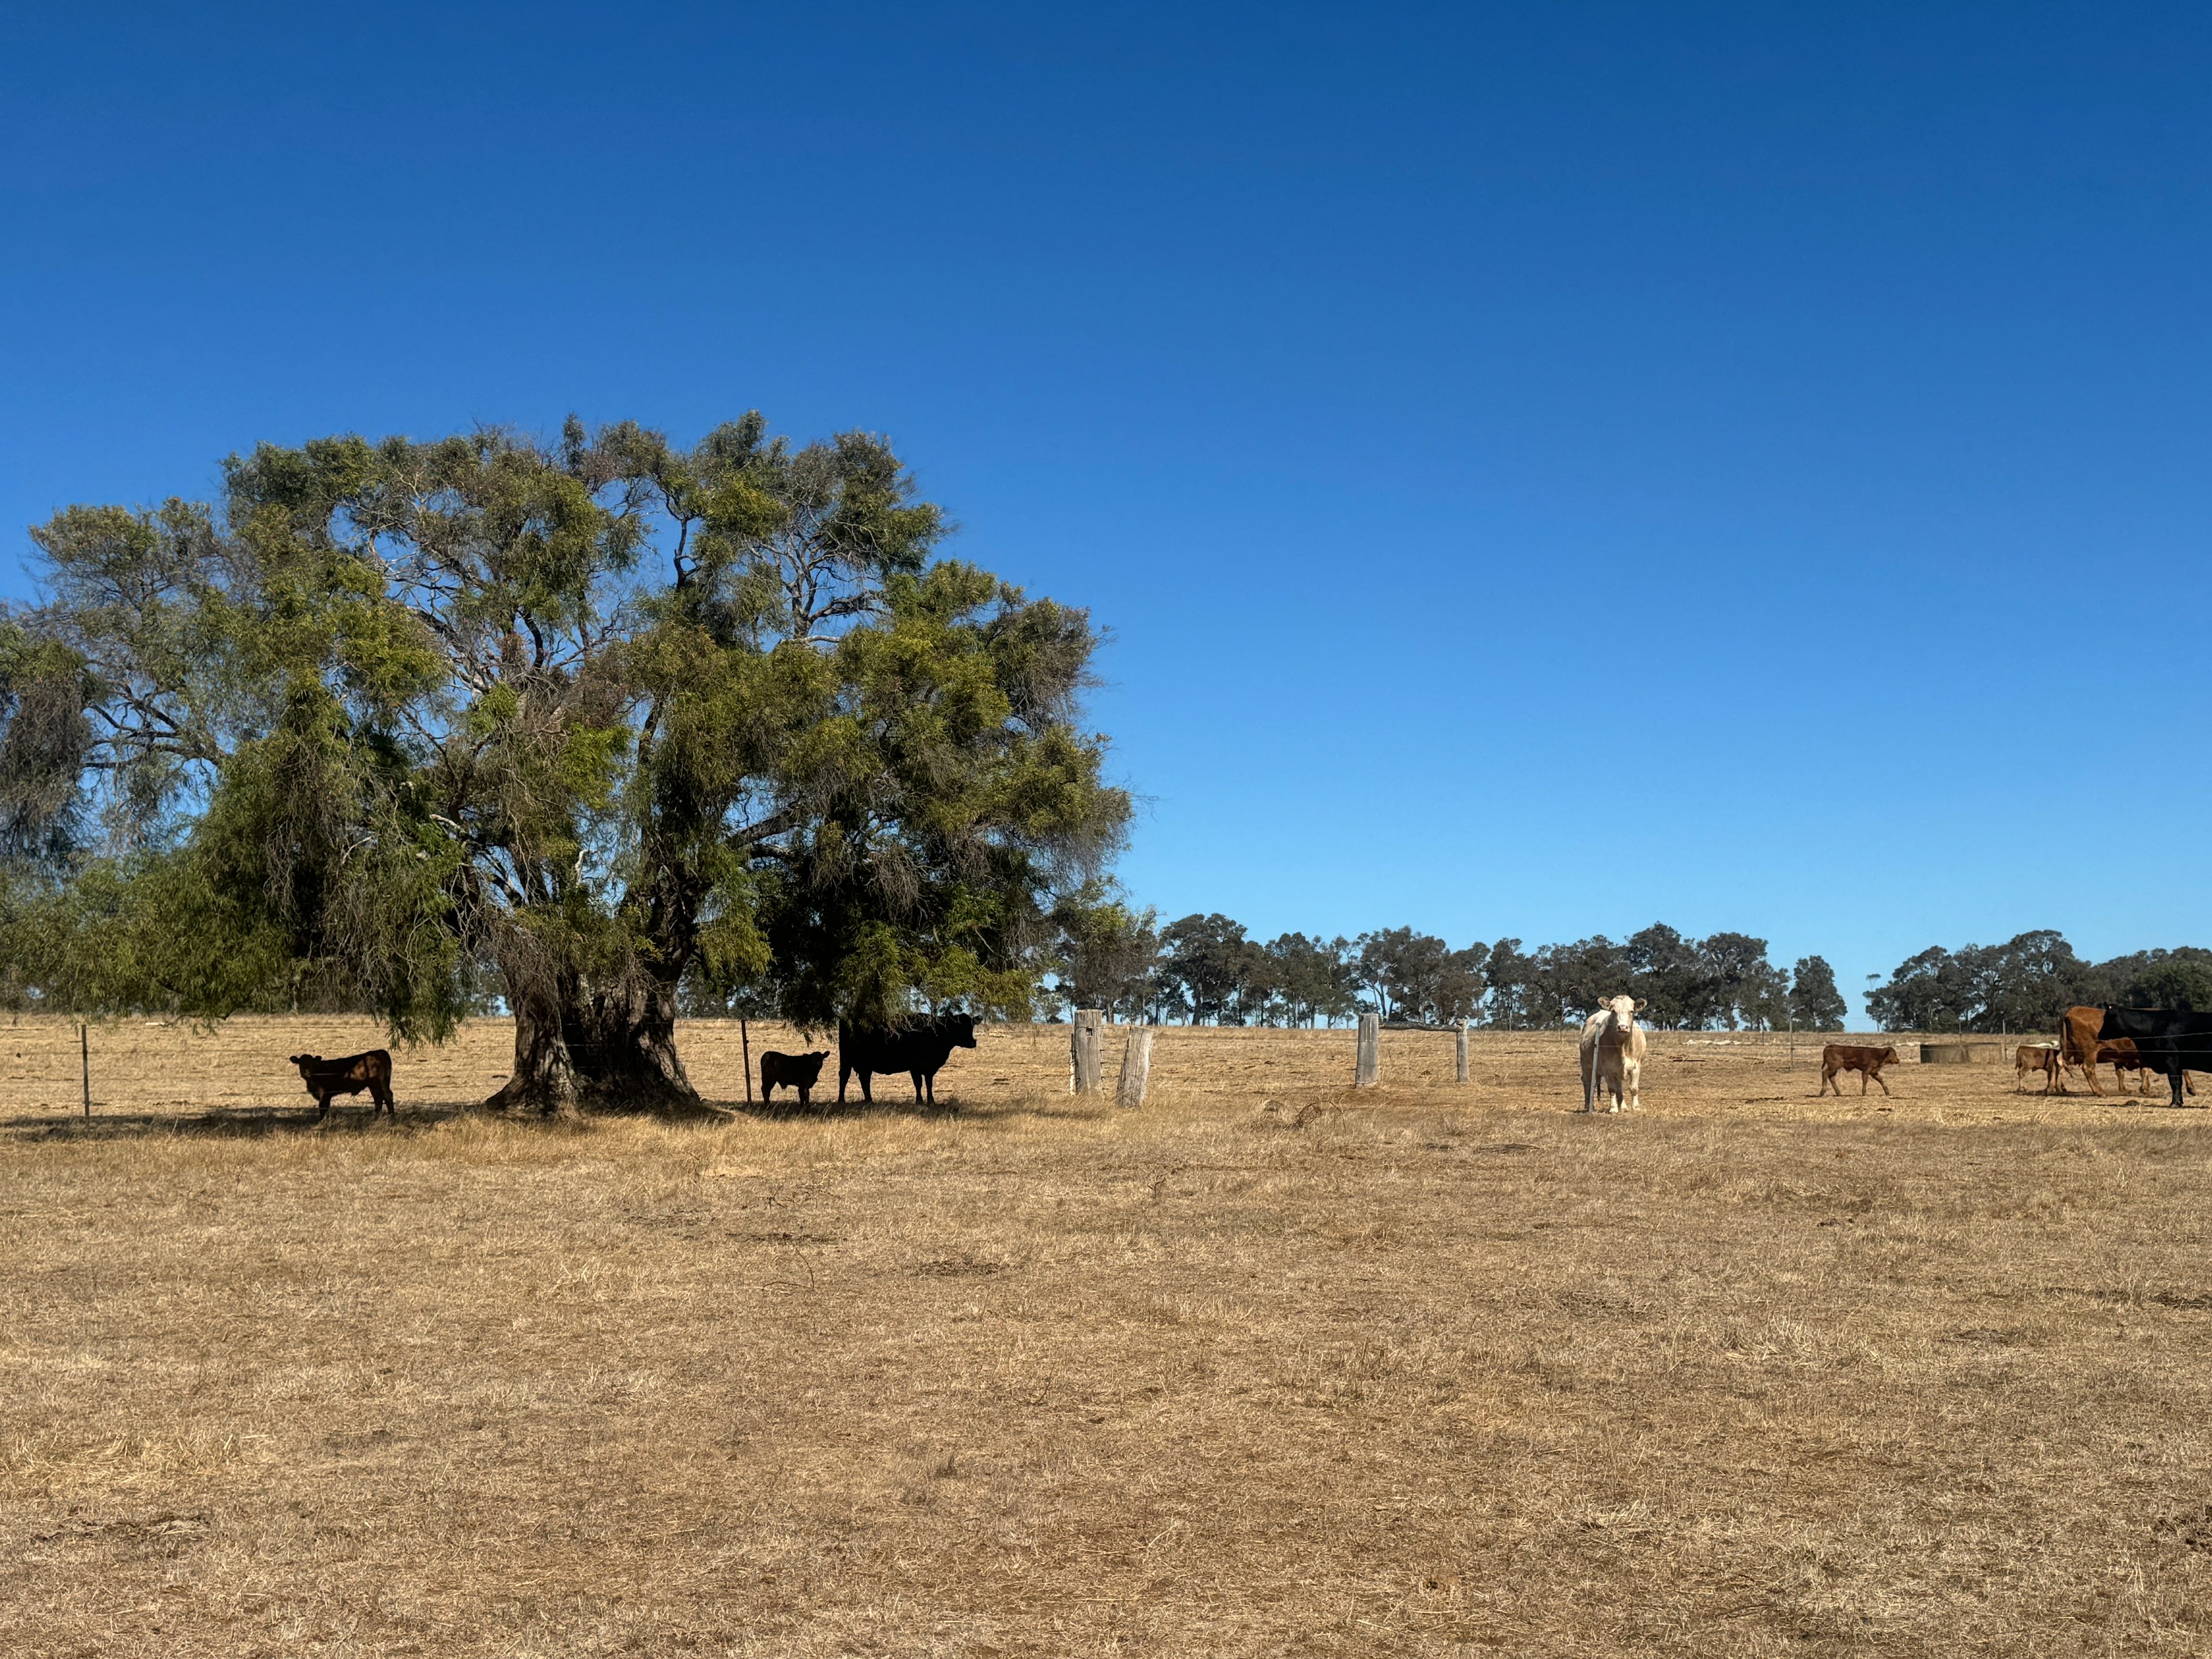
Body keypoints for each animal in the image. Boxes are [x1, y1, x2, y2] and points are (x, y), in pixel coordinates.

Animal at [288, 1050, 396, 1120]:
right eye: (301, 1064)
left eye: (311, 1064)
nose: (306, 1073)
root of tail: (380, 1052)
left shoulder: (325, 1093)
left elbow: (323, 1107)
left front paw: (321, 1122)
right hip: (374, 1086)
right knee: (378, 1099)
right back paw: (377, 1116)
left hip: (380, 1083)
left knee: (387, 1096)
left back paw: (391, 1116)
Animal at [837, 1013, 979, 1109]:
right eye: (960, 1026)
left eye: (971, 1026)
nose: (973, 1043)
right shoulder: (915, 1066)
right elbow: (919, 1083)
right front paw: (920, 1102)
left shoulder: (929, 1068)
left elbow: (929, 1084)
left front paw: (931, 1102)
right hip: (847, 1059)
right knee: (844, 1077)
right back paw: (841, 1100)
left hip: (865, 1064)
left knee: (865, 1080)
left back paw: (869, 1100)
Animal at [1577, 995, 1646, 1113]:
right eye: (1613, 1011)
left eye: (1632, 1011)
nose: (1622, 1027)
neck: (1623, 1047)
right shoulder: (1608, 1069)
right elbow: (1612, 1089)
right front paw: (1613, 1109)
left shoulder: (1636, 1067)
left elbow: (1633, 1088)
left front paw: (1636, 1108)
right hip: (1587, 1065)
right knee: (1587, 1081)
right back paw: (1588, 1106)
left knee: (1619, 1088)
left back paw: (1623, 1107)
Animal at [1819, 1043, 1899, 1097]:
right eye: (1894, 1054)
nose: (1898, 1060)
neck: (1880, 1055)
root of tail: (1828, 1047)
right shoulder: (1866, 1071)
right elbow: (1865, 1080)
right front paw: (1864, 1093)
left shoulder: (1873, 1072)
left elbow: (1881, 1080)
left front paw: (1887, 1092)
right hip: (1834, 1067)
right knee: (1825, 1073)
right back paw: (1822, 1092)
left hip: (1834, 1069)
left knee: (1831, 1078)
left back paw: (1839, 1093)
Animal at [2096, 1007, 2212, 1108]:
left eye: (2107, 1019)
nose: (2099, 1034)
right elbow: (2178, 1082)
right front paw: (2180, 1102)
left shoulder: (2171, 1059)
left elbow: (2175, 1082)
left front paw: (2174, 1103)